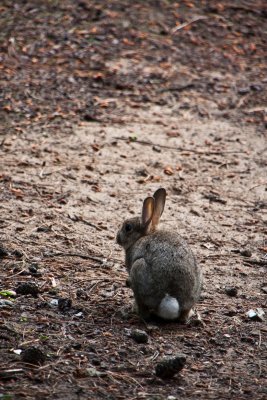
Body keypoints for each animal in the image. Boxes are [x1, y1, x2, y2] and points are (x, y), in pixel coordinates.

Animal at [116, 188, 202, 322]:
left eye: (128, 227)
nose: (117, 238)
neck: (143, 236)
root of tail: (171, 299)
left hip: (138, 270)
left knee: (144, 309)